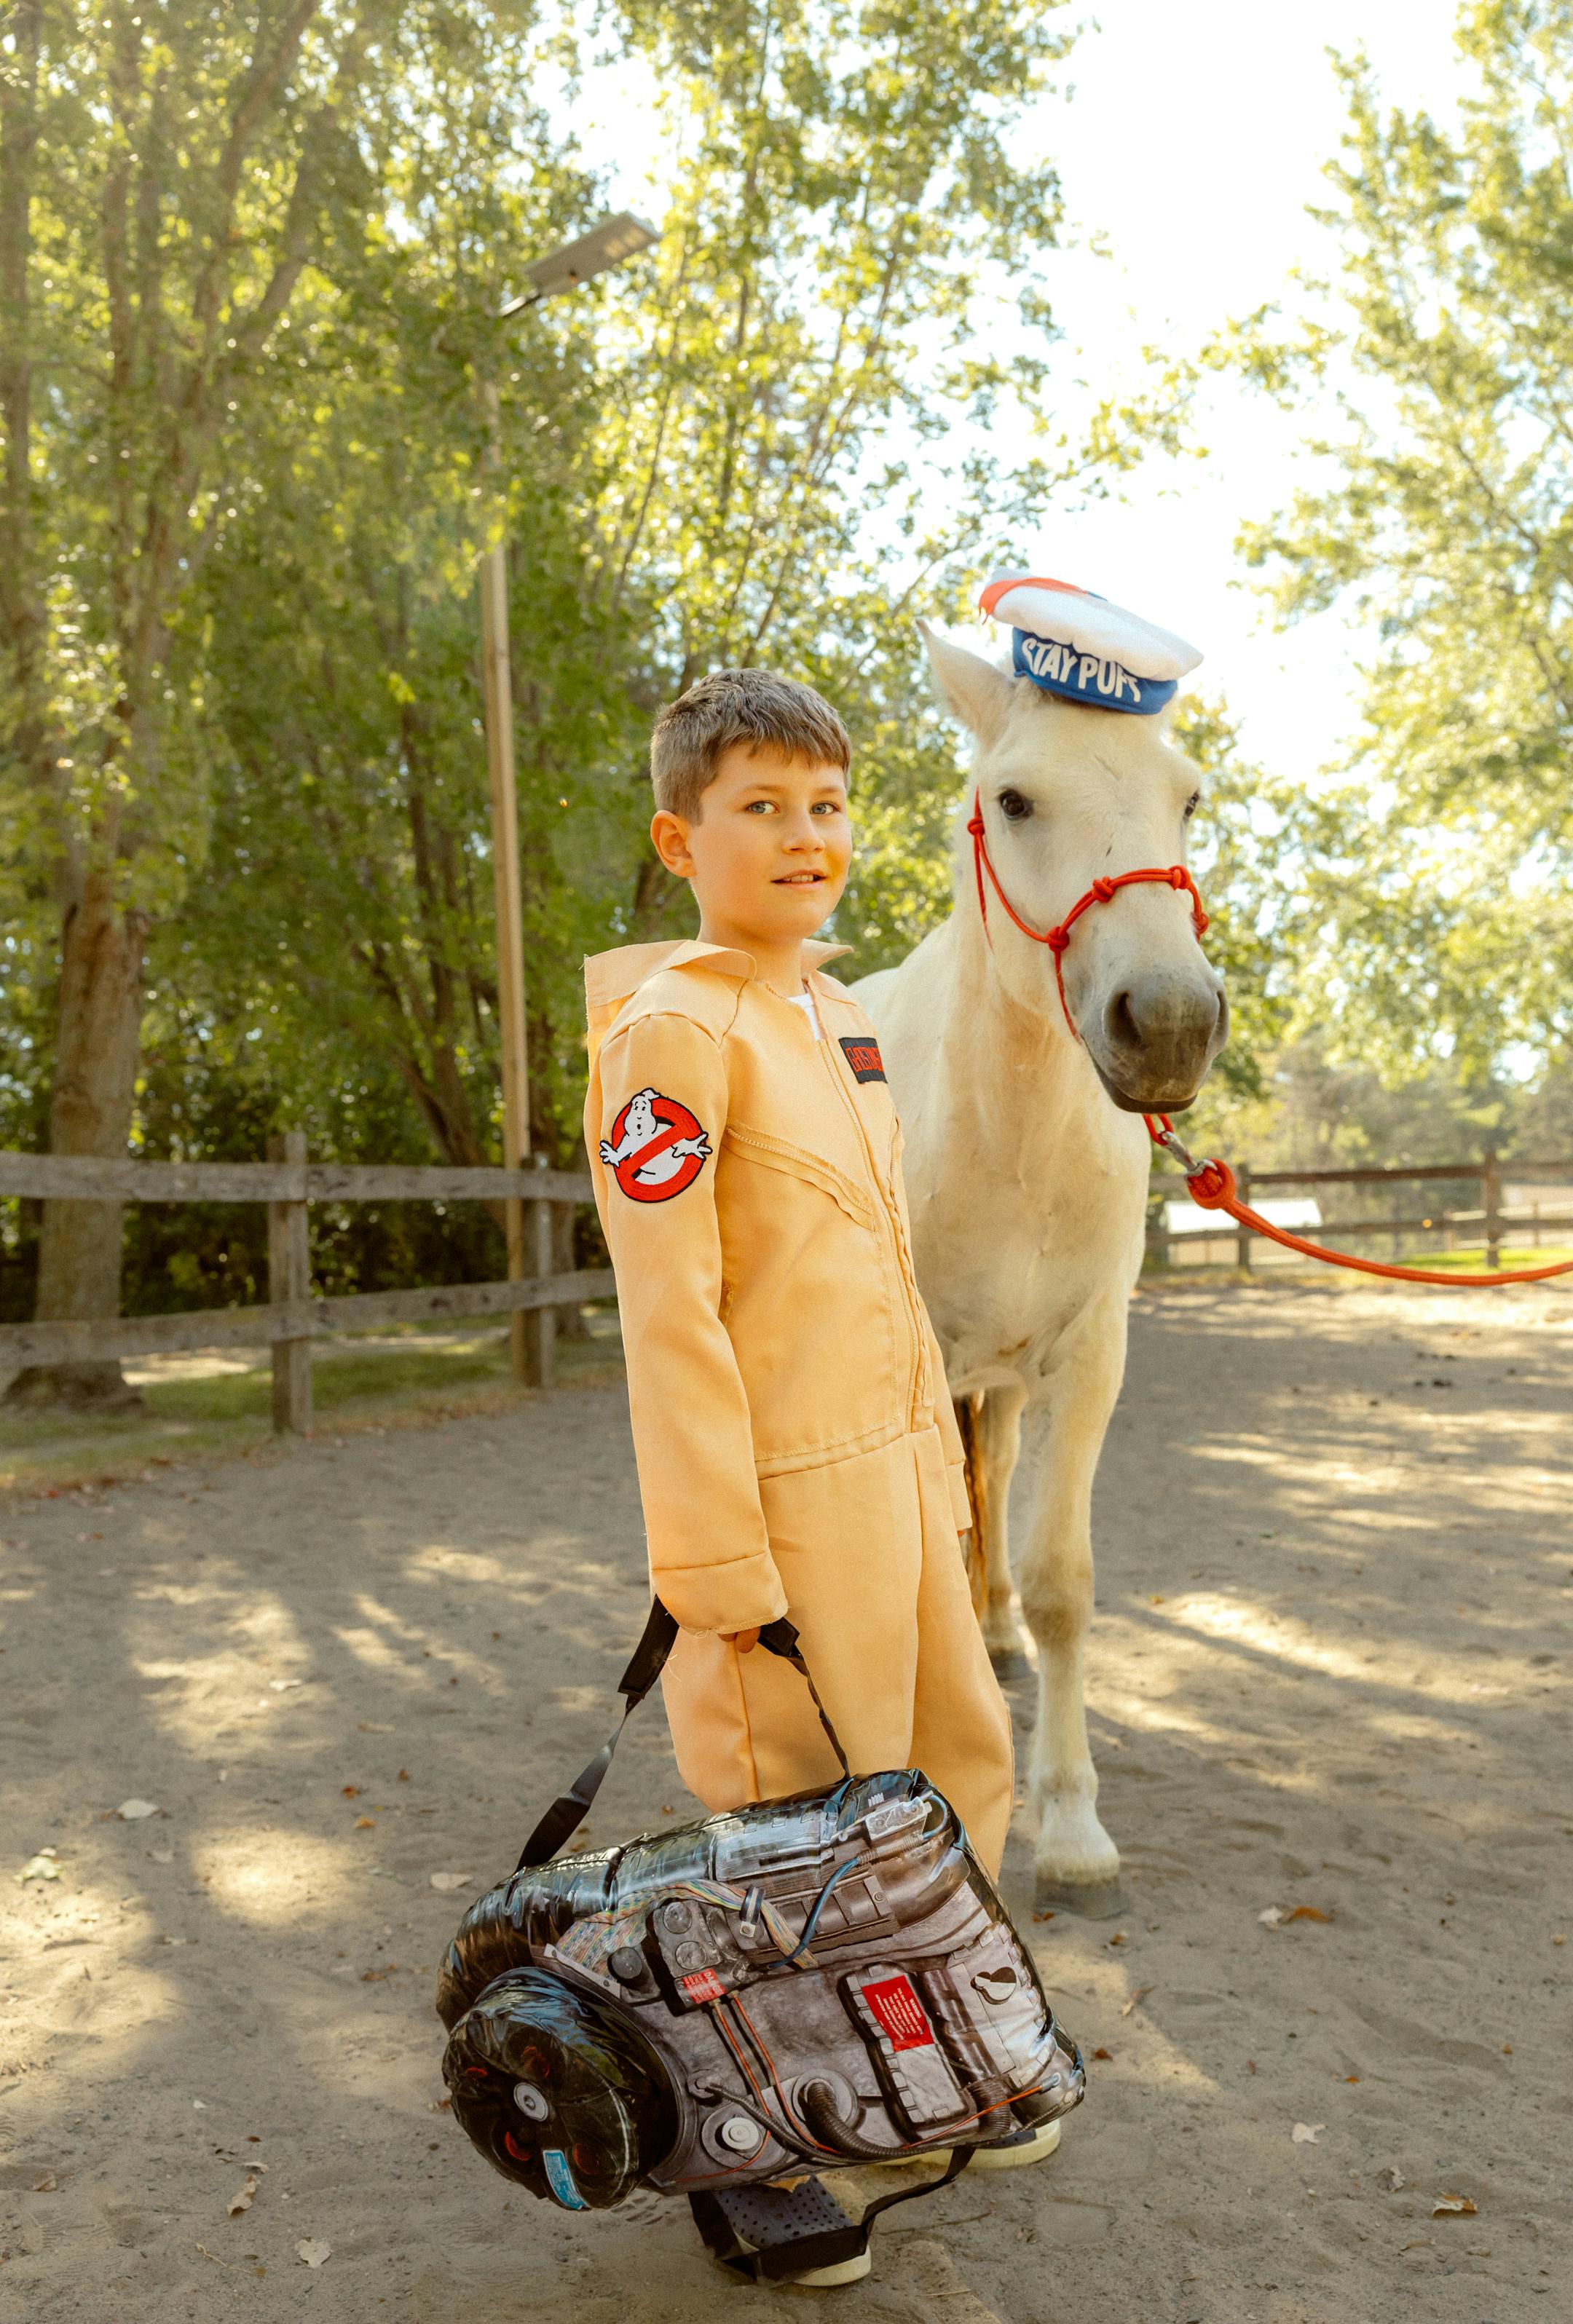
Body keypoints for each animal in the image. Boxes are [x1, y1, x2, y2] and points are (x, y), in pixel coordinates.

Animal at [853, 623, 1228, 1913]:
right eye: (1014, 800)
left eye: (1187, 798)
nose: (1169, 1023)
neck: (1009, 1137)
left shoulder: (1085, 1357)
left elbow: (1060, 1577)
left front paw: (1070, 1826)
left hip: (1007, 1384)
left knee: (992, 1489)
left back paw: (997, 1633)